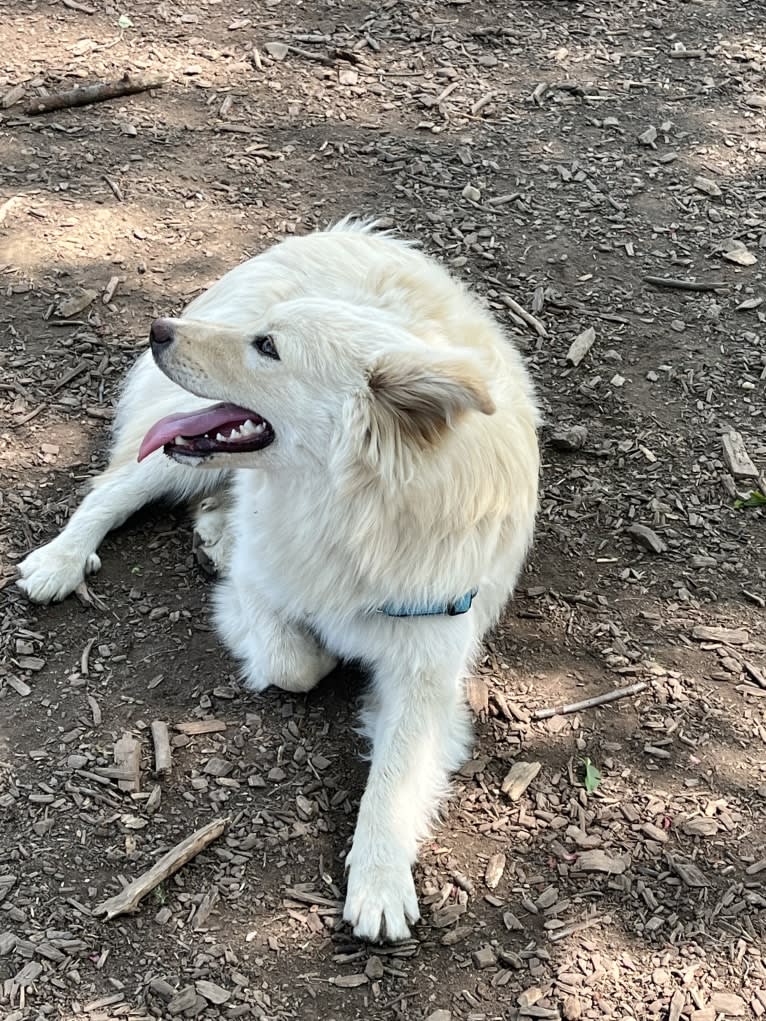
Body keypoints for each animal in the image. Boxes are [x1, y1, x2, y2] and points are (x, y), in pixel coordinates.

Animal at [16, 221, 539, 939]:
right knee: (112, 490)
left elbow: (395, 776)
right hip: (174, 453)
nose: (158, 329)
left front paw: (379, 882)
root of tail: (337, 233)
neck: (352, 507)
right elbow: (297, 665)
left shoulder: (427, 665)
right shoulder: (261, 583)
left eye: (268, 347)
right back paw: (61, 560)